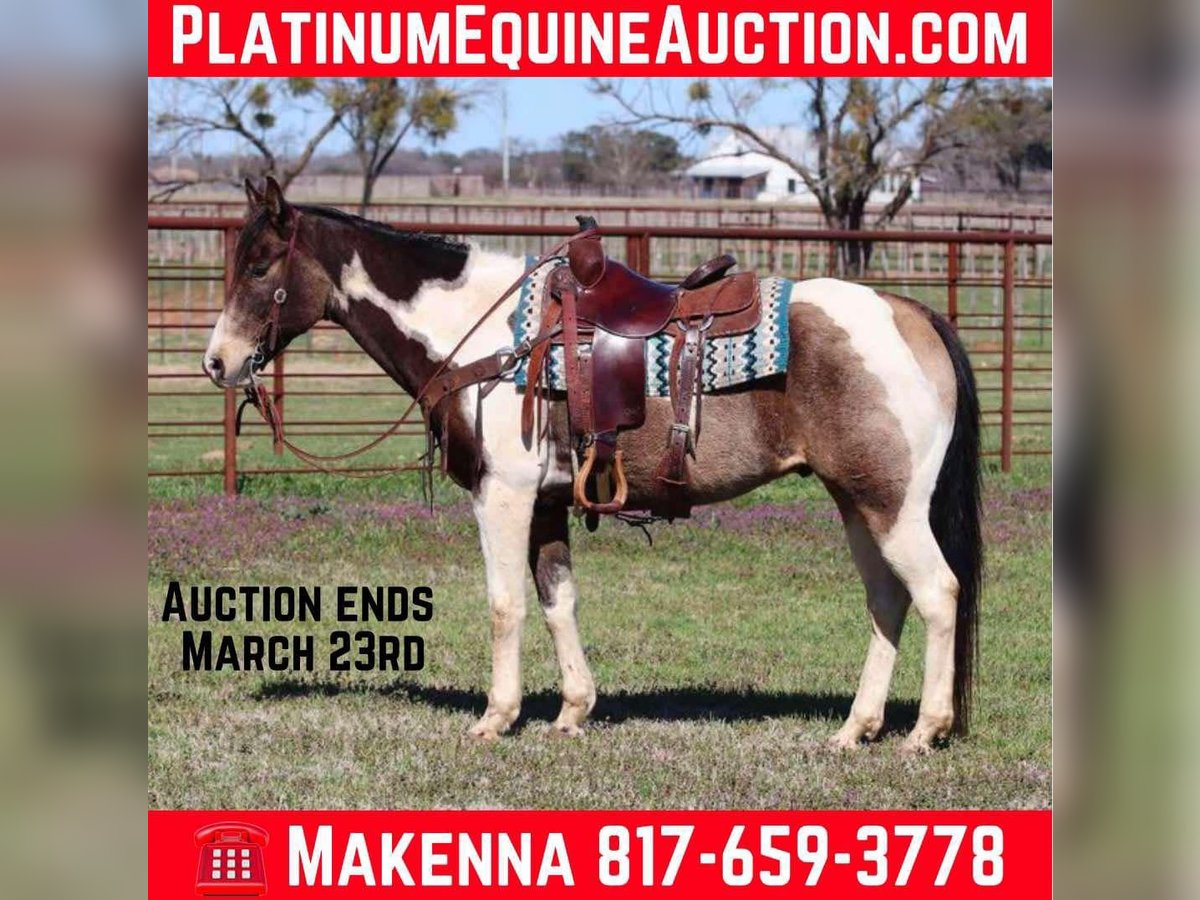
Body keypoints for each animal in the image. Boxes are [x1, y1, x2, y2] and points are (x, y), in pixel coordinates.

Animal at [203, 177, 982, 753]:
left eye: (261, 265)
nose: (218, 362)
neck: (485, 338)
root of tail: (910, 313)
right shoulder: (548, 502)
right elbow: (558, 601)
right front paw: (573, 711)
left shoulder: (503, 495)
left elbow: (506, 603)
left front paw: (496, 717)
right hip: (858, 503)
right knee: (888, 599)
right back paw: (856, 728)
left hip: (892, 506)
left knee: (938, 592)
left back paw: (925, 731)